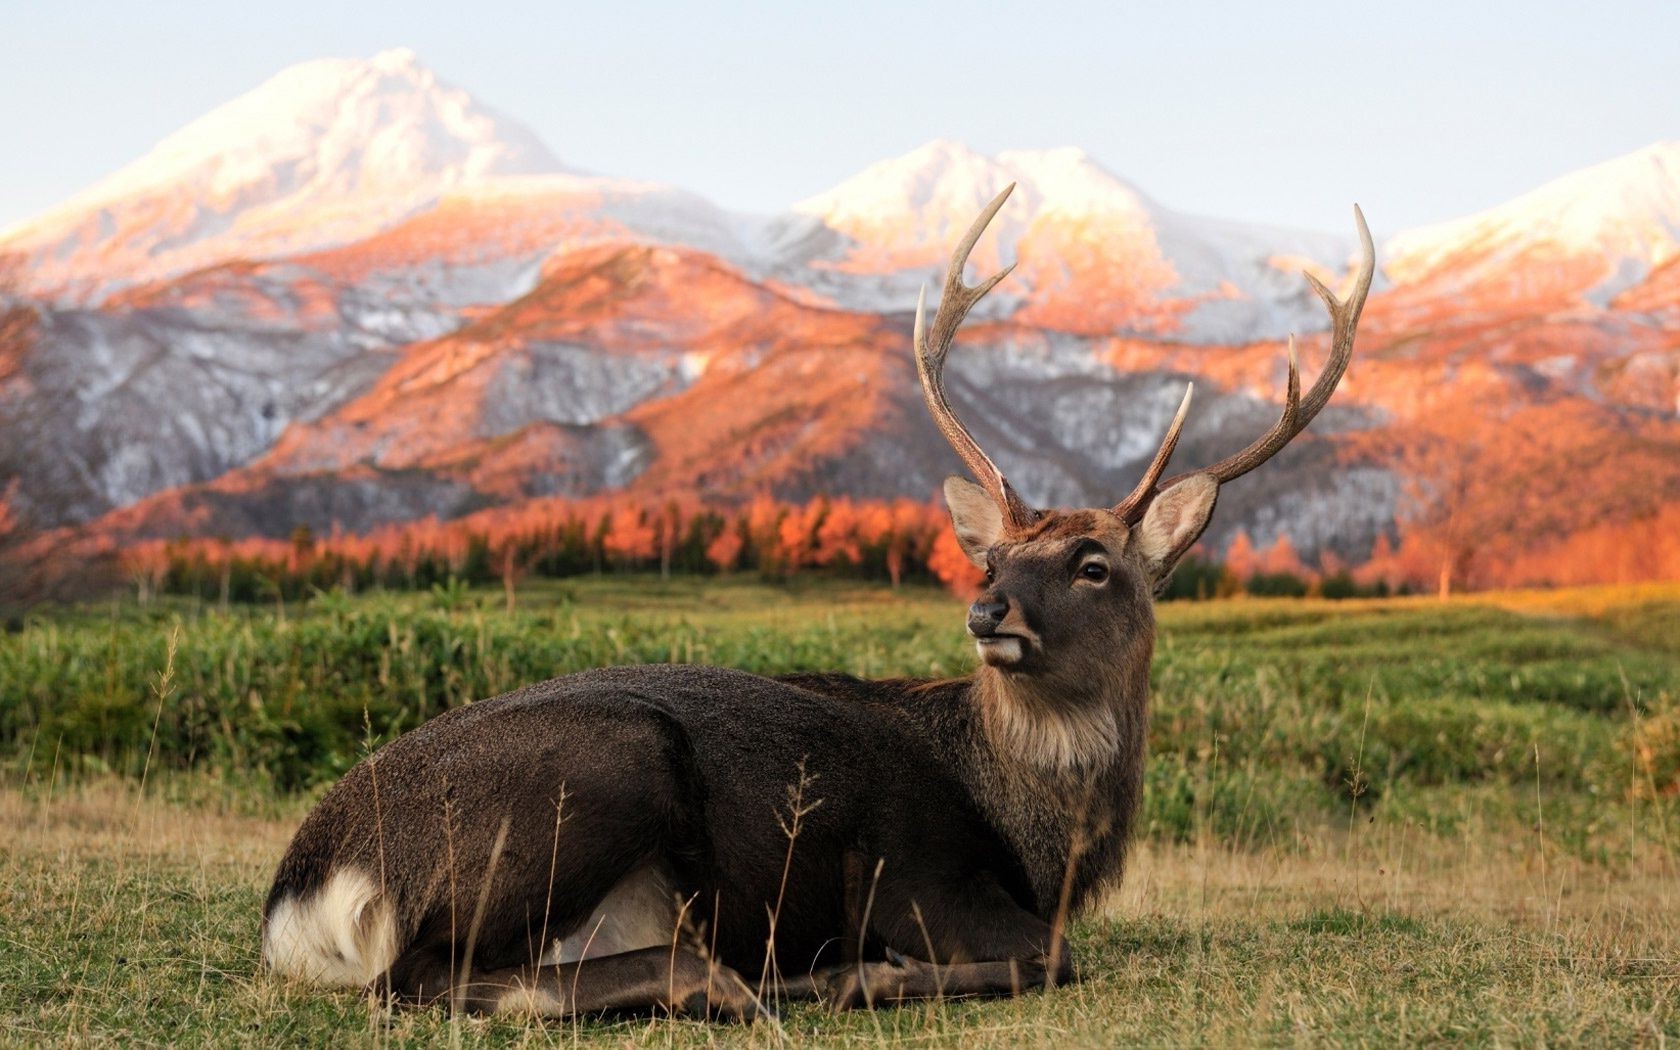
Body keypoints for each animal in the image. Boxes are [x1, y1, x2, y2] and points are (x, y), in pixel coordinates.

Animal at [255, 183, 1370, 1021]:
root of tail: (304, 893)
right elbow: (1051, 958)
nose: (989, 614)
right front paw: (866, 973)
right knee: (422, 977)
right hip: (600, 769)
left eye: (1095, 564)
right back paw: (757, 980)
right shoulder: (915, 875)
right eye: (994, 560)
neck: (1042, 845)